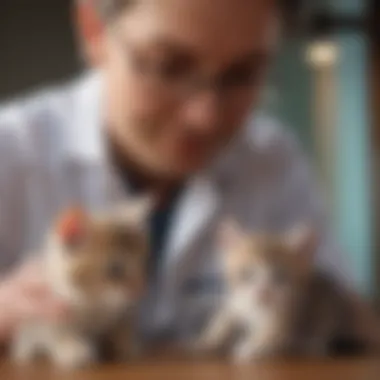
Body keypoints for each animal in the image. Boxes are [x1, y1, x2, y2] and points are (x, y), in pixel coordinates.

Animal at [12, 197, 154, 370]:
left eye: (141, 262)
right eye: (115, 269)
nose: (140, 290)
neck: (93, 302)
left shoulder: (124, 310)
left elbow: (123, 324)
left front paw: (127, 345)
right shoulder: (47, 308)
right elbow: (59, 331)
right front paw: (72, 348)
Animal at [196, 221, 380, 364]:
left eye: (280, 276)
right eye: (247, 274)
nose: (263, 292)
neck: (257, 311)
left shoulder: (288, 313)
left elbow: (272, 334)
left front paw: (252, 346)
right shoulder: (239, 301)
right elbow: (223, 320)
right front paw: (207, 342)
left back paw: (310, 344)